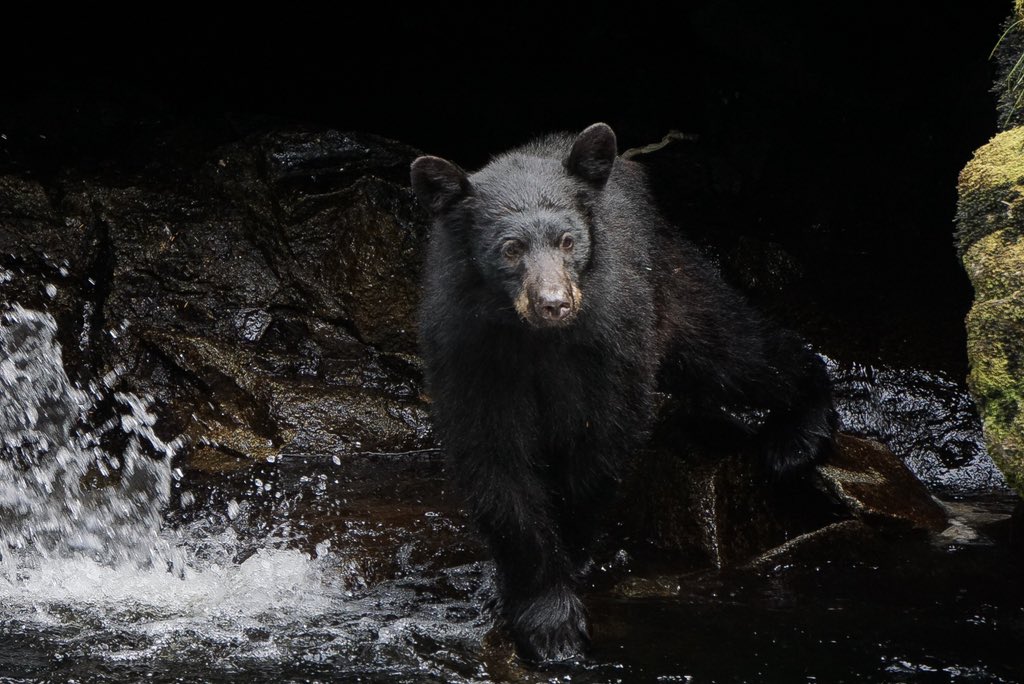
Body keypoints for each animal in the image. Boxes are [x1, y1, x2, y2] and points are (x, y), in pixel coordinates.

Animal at [410, 123, 835, 663]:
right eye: (510, 249)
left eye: (568, 240)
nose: (555, 303)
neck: (535, 339)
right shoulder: (468, 353)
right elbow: (494, 462)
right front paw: (547, 618)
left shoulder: (610, 337)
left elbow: (605, 434)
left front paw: (572, 554)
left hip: (668, 283)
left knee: (734, 351)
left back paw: (799, 434)